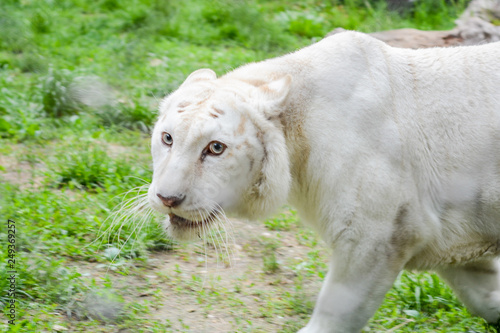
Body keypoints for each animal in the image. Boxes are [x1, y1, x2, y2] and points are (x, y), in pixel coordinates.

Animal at [146, 30, 500, 330]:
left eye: (216, 148)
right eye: (167, 138)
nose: (167, 198)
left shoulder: (376, 237)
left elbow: (335, 314)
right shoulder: (454, 242)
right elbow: (486, 298)